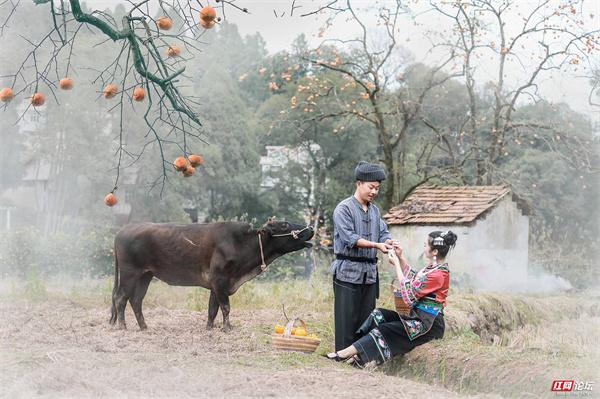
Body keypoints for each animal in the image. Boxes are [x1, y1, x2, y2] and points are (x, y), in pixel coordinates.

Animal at [109, 219, 314, 332]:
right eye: (284, 224)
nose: (311, 228)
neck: (241, 244)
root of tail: (122, 231)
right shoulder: (220, 281)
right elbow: (225, 307)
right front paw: (227, 328)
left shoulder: (216, 286)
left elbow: (212, 309)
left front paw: (210, 328)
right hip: (129, 274)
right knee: (120, 298)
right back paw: (122, 326)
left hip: (146, 275)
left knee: (136, 300)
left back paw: (144, 326)